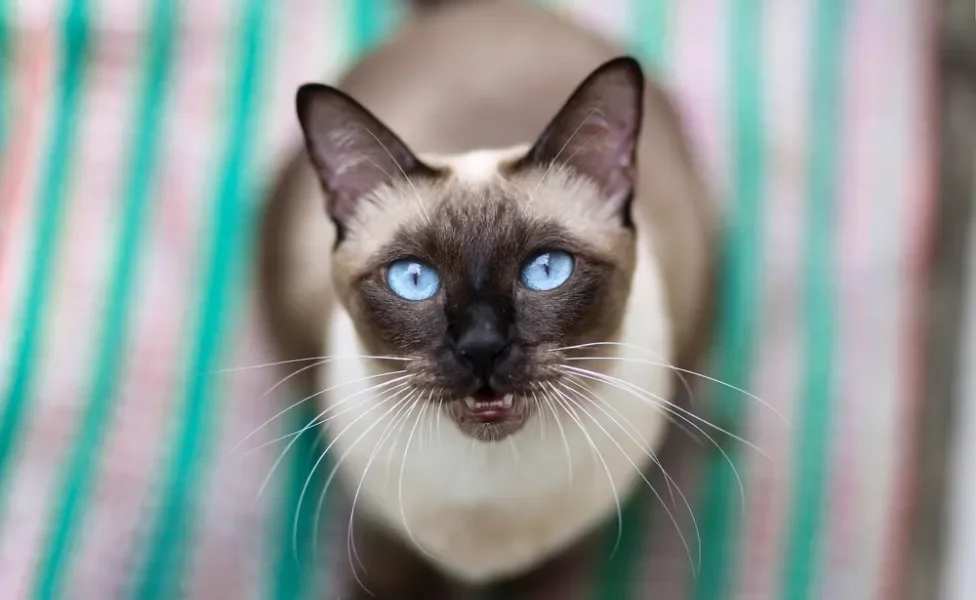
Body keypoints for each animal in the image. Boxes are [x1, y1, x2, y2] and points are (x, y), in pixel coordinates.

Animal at [260, 0, 716, 592]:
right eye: (414, 279)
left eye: (546, 270)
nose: (481, 347)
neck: (487, 491)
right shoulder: (384, 546)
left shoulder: (558, 565)